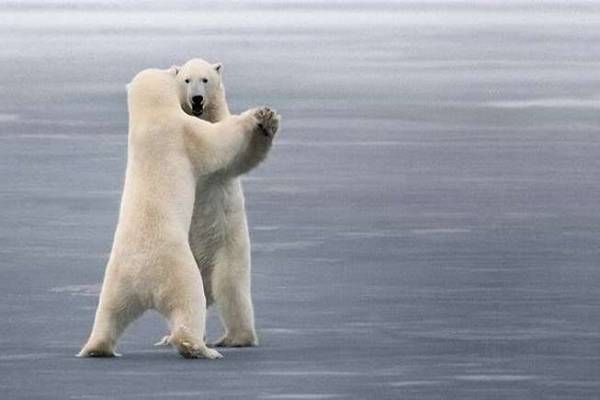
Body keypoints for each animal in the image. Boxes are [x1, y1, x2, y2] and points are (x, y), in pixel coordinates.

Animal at [78, 66, 282, 360]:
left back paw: (96, 348)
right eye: (184, 78)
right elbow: (218, 143)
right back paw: (200, 347)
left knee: (108, 313)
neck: (150, 119)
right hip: (179, 271)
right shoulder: (184, 133)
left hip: (117, 280)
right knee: (196, 300)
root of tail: (145, 282)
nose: (196, 99)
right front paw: (260, 115)